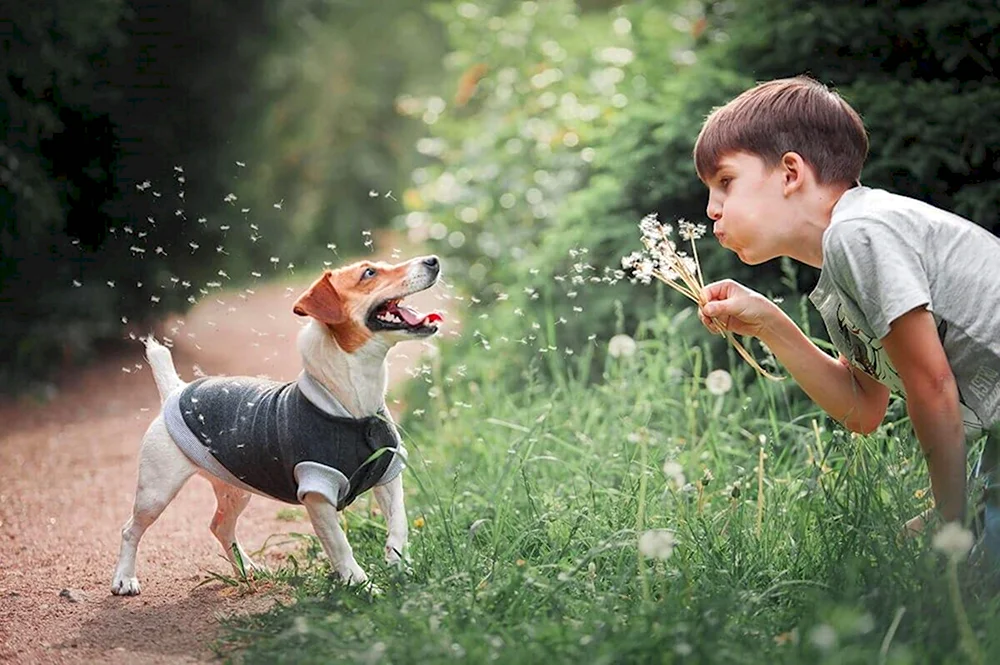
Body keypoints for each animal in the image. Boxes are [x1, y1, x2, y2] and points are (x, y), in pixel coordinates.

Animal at [111, 253, 444, 592]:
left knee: (220, 526)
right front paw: (363, 587)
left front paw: (398, 565)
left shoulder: (388, 473)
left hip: (236, 486)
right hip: (156, 492)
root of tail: (175, 389)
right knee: (130, 529)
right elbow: (340, 546)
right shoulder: (317, 489)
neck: (353, 406)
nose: (433, 260)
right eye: (369, 273)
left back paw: (248, 568)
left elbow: (399, 522)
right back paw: (124, 578)